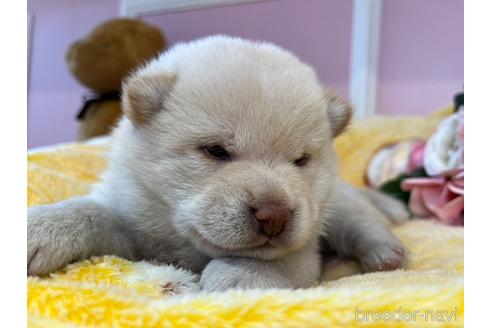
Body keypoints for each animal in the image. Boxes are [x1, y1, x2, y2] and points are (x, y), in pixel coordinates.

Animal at [26, 36, 408, 292]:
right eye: (216, 151)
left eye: (300, 160)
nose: (275, 216)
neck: (184, 245)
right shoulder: (132, 219)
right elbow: (90, 211)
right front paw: (41, 226)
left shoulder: (302, 249)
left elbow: (269, 258)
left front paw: (234, 280)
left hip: (338, 207)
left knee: (364, 224)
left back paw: (384, 254)